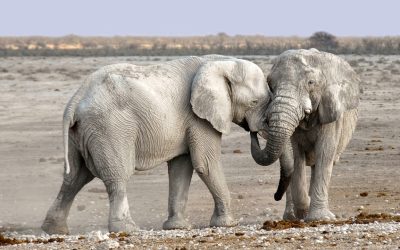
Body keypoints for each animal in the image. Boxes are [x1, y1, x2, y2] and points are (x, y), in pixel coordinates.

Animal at [41, 54, 272, 234]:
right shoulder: (198, 117)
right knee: (117, 176)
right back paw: (127, 229)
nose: (254, 131)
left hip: (82, 132)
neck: (221, 62)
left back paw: (54, 230)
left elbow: (181, 167)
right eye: (254, 102)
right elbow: (205, 164)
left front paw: (177, 227)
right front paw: (228, 224)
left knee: (75, 177)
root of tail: (76, 99)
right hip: (109, 128)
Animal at [250, 48, 360, 221]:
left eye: (310, 83)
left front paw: (320, 218)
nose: (253, 131)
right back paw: (291, 217)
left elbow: (325, 153)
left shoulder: (331, 113)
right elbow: (296, 156)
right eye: (270, 84)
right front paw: (305, 210)